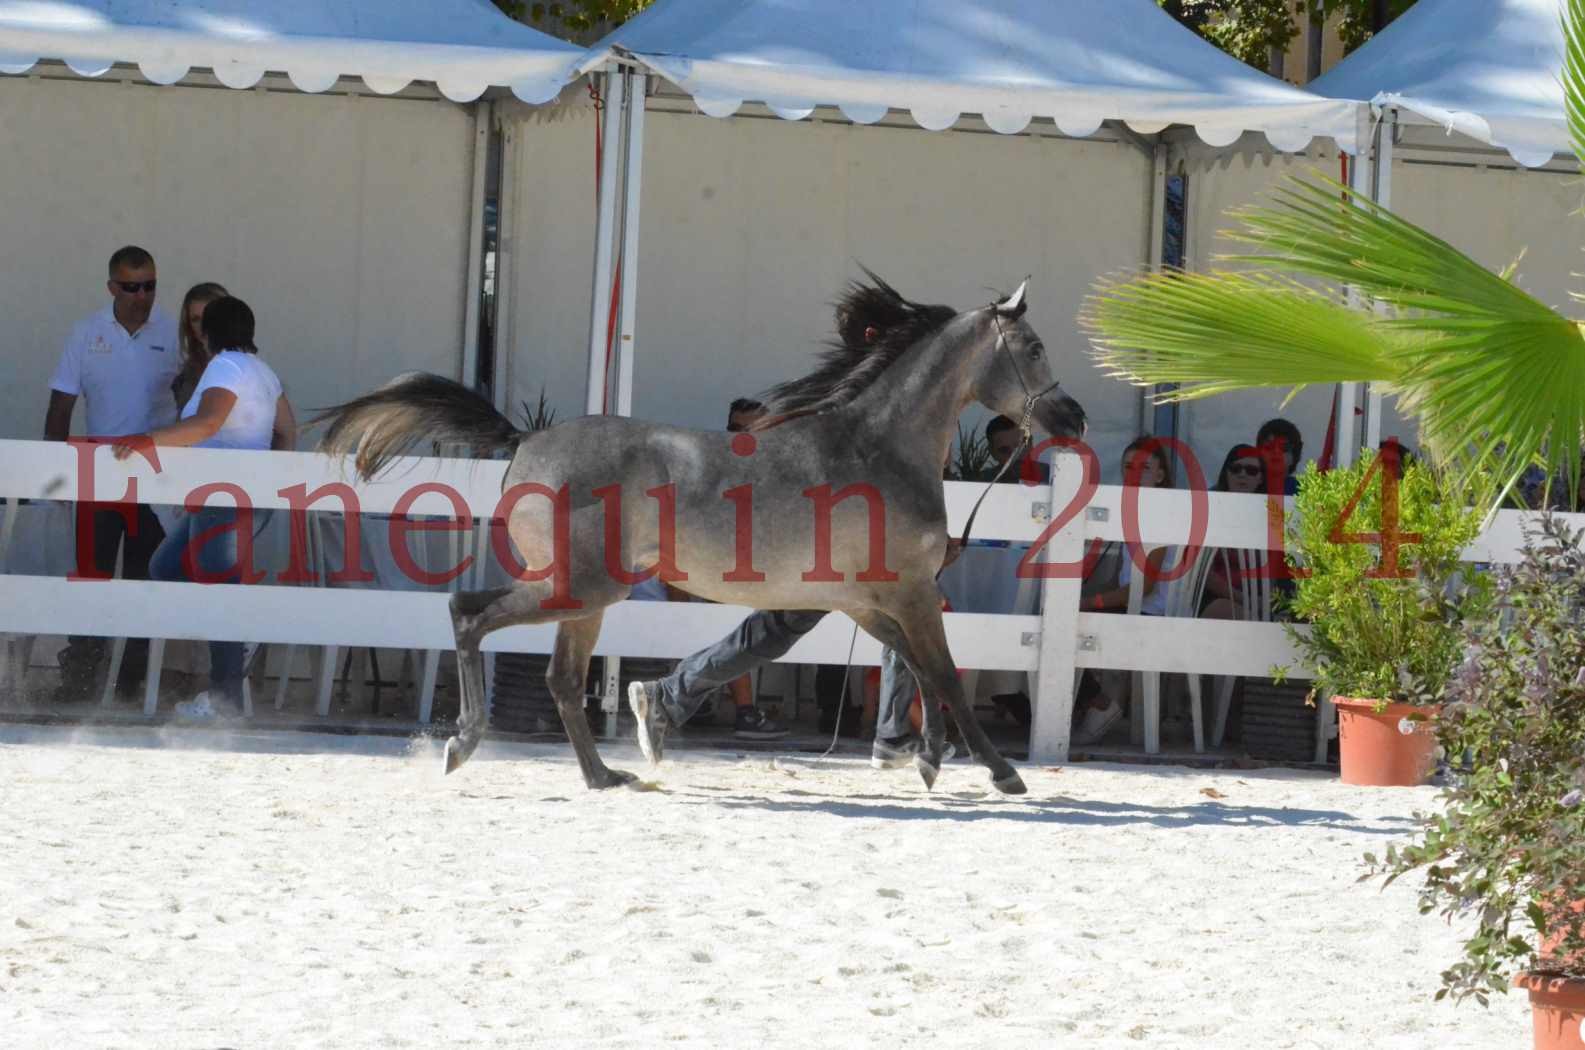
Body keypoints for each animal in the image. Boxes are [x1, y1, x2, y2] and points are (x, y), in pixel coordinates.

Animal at [321, 275, 1090, 793]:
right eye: (1032, 348)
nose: (1073, 417)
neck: (874, 447)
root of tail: (528, 439)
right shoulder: (907, 593)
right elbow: (945, 674)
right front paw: (1000, 772)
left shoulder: (867, 600)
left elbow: (921, 672)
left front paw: (928, 759)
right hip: (576, 587)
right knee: (467, 613)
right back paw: (462, 742)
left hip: (587, 599)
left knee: (560, 678)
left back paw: (606, 776)